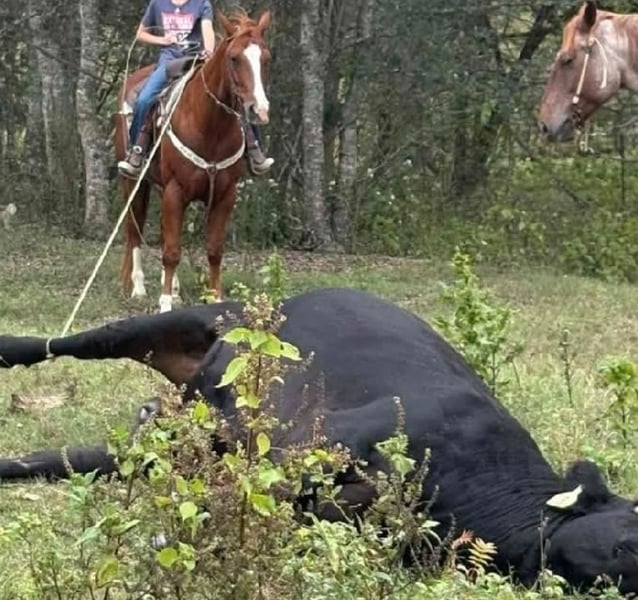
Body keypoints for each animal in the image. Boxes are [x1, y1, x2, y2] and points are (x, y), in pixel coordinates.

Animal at [0, 287, 637, 593]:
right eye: (629, 541)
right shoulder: (323, 446)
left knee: (92, 454)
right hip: (176, 324)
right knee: (80, 342)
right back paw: (12, 346)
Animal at [114, 10, 272, 312]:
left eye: (266, 58)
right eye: (234, 57)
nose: (258, 109)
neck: (210, 125)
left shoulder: (224, 195)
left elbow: (213, 250)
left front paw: (215, 298)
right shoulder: (175, 190)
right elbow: (172, 251)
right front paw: (165, 304)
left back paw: (173, 289)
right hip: (134, 182)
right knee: (135, 230)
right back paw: (139, 287)